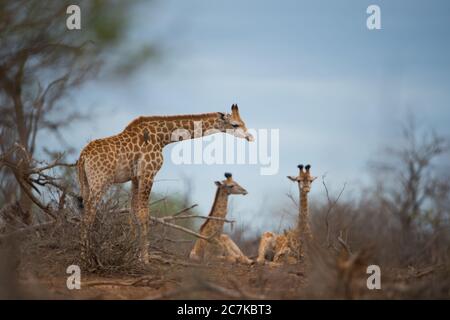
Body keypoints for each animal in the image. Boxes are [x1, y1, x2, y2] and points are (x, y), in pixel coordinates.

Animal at [76, 104, 253, 264]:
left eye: (243, 122)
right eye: (235, 124)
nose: (250, 137)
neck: (162, 138)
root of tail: (83, 157)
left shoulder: (135, 177)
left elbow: (132, 212)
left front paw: (130, 254)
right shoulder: (148, 172)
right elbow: (144, 214)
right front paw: (145, 259)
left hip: (85, 183)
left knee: (84, 211)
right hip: (100, 180)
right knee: (90, 213)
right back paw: (86, 256)